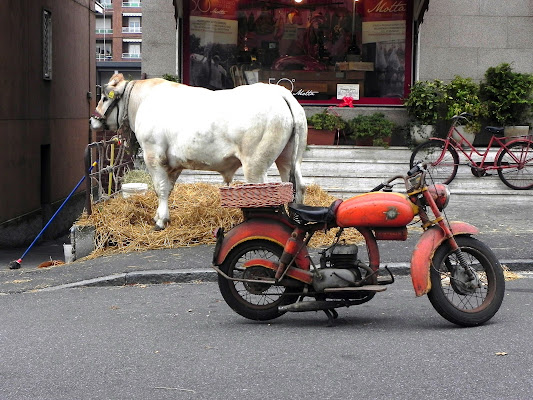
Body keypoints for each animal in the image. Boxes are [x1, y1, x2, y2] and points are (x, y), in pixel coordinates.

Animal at [90, 73, 308, 230]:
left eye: (104, 98)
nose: (93, 120)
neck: (141, 102)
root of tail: (280, 92)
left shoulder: (153, 154)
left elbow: (160, 188)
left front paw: (160, 222)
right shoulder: (173, 163)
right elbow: (168, 188)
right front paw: (161, 216)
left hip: (255, 163)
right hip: (288, 158)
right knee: (297, 186)